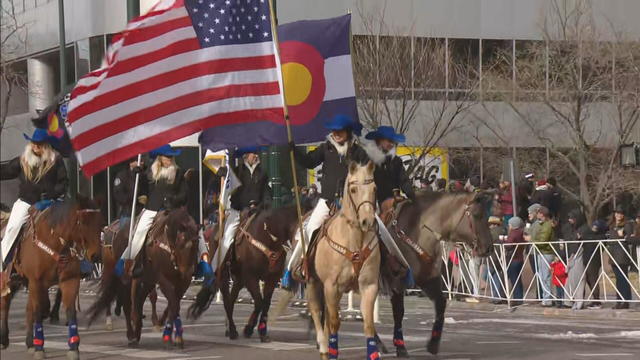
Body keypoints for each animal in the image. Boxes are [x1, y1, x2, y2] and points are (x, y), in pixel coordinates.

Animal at [0, 197, 104, 360]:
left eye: (100, 222)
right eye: (83, 222)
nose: (96, 255)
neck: (54, 241)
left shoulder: (69, 280)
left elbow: (69, 311)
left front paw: (74, 347)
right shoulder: (36, 282)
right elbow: (37, 311)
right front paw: (39, 348)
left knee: (27, 308)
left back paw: (29, 342)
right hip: (9, 278)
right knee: (5, 304)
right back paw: (4, 339)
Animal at [86, 208, 199, 348]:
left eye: (196, 243)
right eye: (181, 243)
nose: (187, 270)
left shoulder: (183, 282)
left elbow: (172, 304)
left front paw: (166, 329)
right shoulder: (162, 279)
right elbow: (173, 303)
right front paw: (173, 336)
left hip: (144, 280)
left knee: (137, 302)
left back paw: (138, 329)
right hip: (122, 277)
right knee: (127, 304)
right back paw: (130, 334)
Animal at [306, 161, 380, 360]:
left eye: (374, 188)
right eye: (353, 189)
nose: (367, 221)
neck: (354, 239)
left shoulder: (369, 286)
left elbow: (369, 326)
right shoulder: (331, 285)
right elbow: (334, 323)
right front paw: (331, 350)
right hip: (314, 283)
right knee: (317, 313)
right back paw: (324, 347)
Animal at [378, 193, 492, 356]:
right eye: (477, 215)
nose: (489, 247)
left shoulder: (428, 279)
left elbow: (441, 304)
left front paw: (433, 343)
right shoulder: (397, 283)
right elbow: (399, 312)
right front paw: (400, 347)